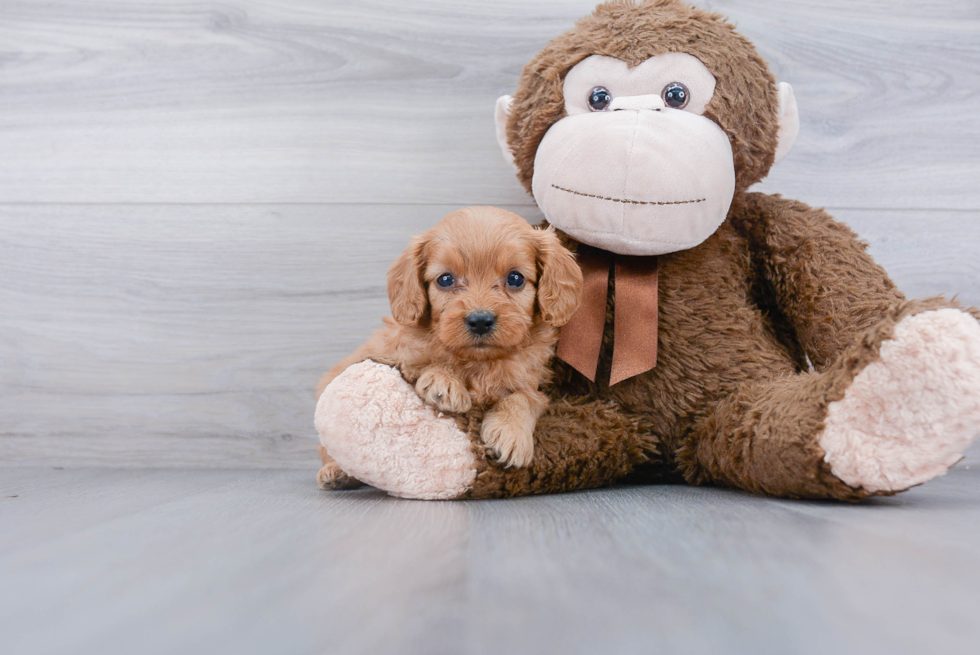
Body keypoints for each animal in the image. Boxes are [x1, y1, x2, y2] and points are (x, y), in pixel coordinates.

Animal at [316, 208, 580, 490]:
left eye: (515, 278)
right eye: (445, 279)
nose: (480, 320)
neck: (479, 362)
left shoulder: (531, 384)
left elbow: (524, 398)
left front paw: (510, 432)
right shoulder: (400, 354)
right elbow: (430, 361)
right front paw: (445, 381)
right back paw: (336, 472)